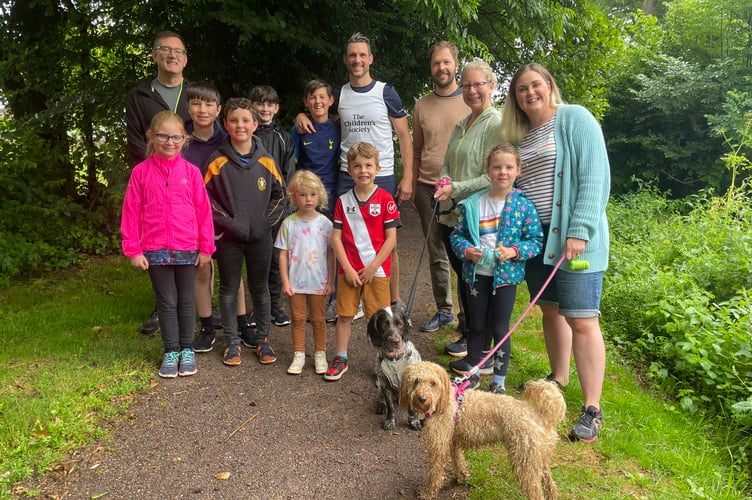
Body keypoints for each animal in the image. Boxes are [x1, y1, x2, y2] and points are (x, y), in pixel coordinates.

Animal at [400, 362, 564, 498]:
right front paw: (462, 476)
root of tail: (539, 413)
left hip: (525, 463)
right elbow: (458, 460)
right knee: (551, 486)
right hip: (538, 459)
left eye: (433, 383)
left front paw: (427, 492)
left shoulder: (438, 447)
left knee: (537, 493)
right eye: (416, 380)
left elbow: (435, 473)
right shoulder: (453, 441)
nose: (422, 399)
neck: (444, 401)